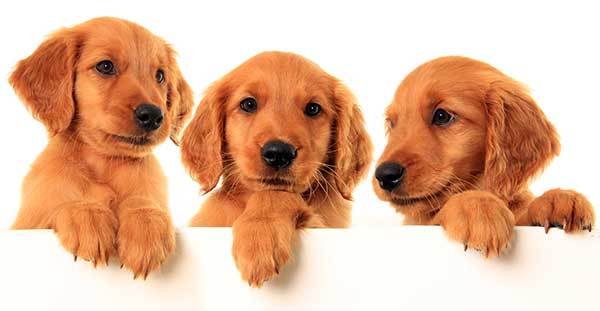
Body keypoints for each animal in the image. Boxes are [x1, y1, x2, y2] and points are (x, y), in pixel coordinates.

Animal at [9, 17, 192, 278]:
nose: (153, 115)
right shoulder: (28, 222)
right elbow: (66, 202)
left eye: (159, 76)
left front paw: (146, 226)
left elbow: (144, 202)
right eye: (105, 66)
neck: (104, 161)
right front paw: (87, 215)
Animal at [376, 57, 596, 258]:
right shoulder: (421, 224)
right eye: (392, 124)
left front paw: (557, 199)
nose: (384, 175)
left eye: (441, 116)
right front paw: (477, 209)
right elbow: (442, 210)